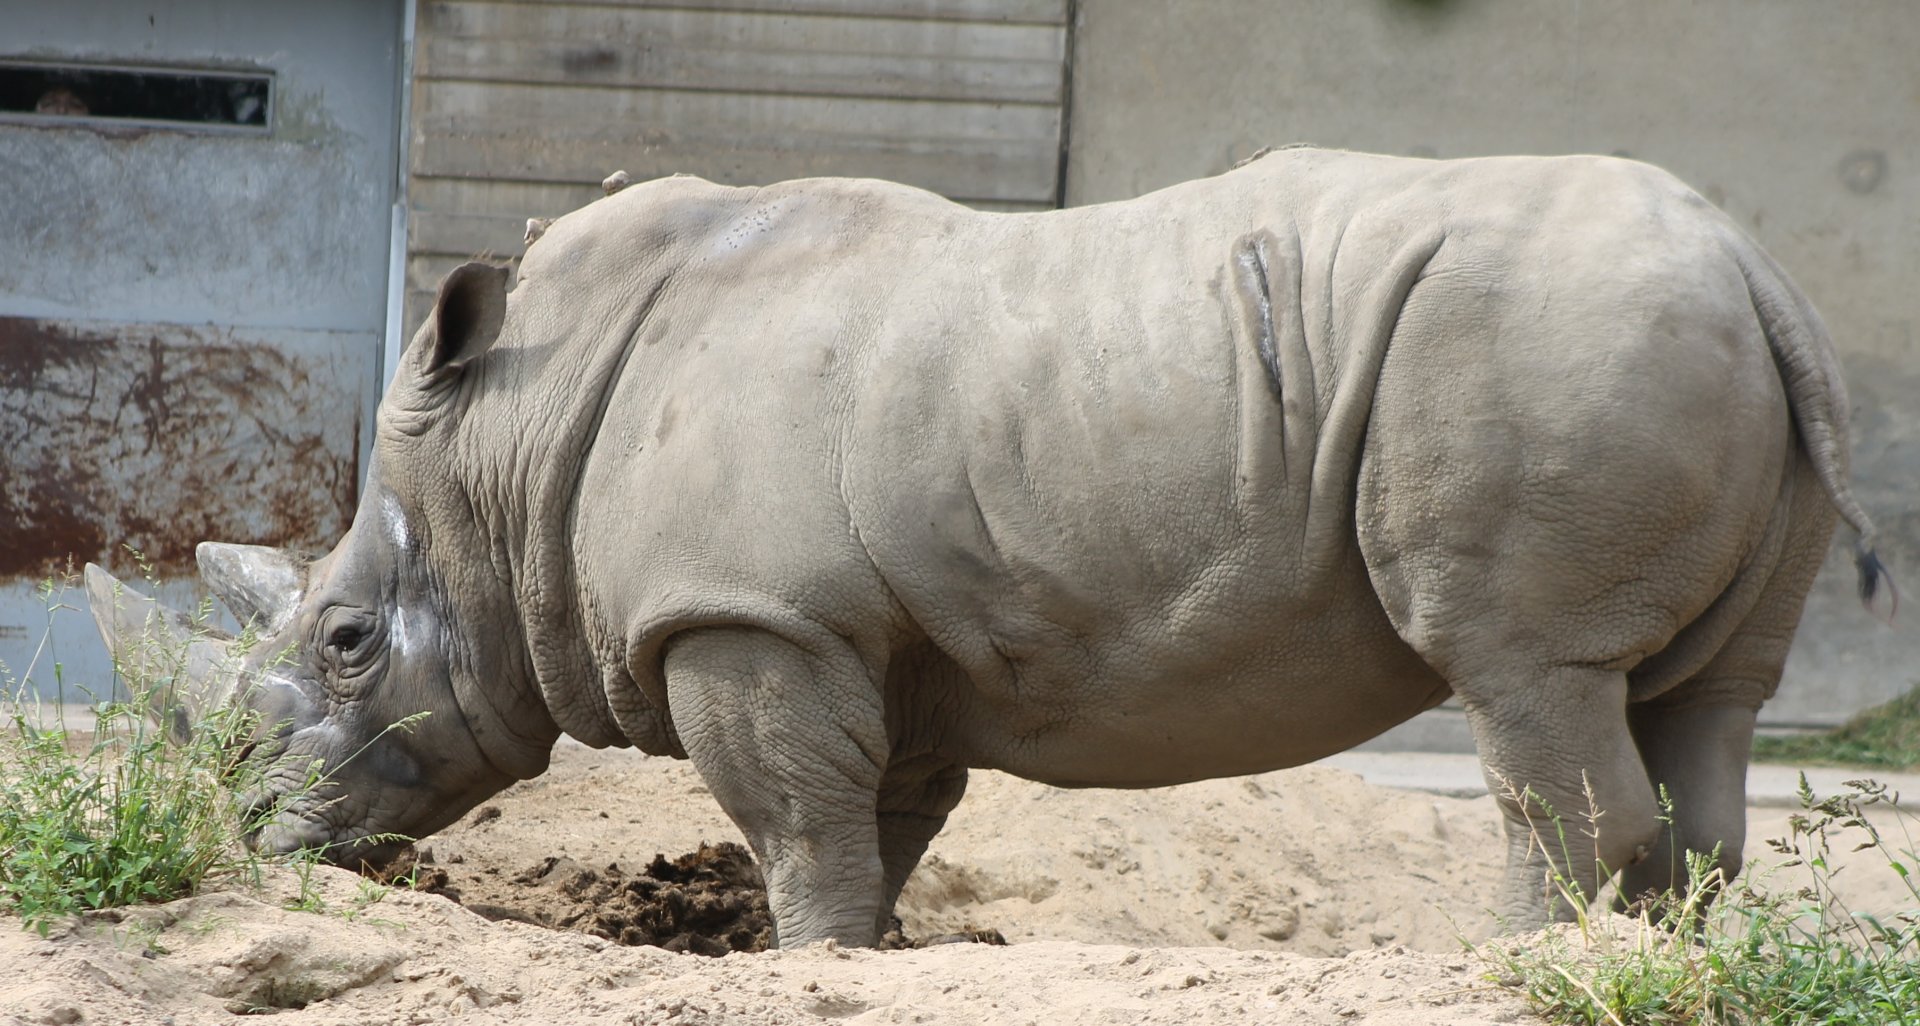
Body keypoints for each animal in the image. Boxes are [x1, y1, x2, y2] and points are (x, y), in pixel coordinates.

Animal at [86, 148, 1885, 947]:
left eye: (344, 643)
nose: (264, 838)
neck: (502, 461)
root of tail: (1754, 264)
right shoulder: (872, 629)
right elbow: (877, 818)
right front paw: (867, 956)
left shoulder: (746, 617)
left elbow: (795, 818)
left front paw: (806, 956)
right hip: (1676, 337)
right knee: (1700, 699)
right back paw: (1661, 950)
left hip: (1539, 338)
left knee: (1524, 675)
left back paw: (1505, 962)